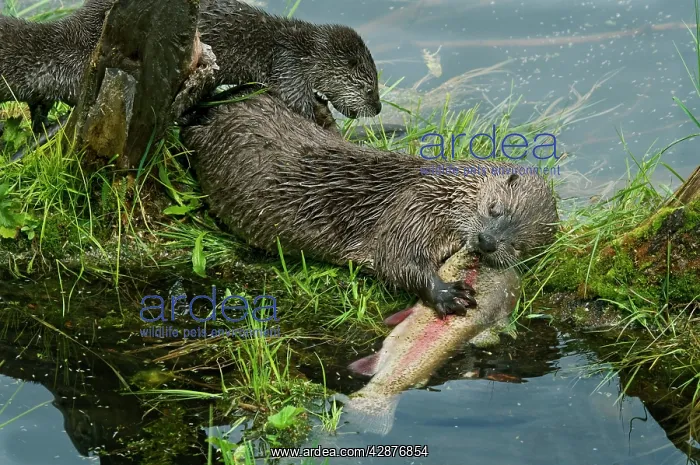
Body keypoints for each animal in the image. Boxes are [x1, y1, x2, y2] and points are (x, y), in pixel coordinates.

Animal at [180, 92, 559, 318]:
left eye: (519, 244)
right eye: (495, 207)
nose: (488, 241)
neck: (441, 191)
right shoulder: (412, 210)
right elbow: (395, 260)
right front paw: (448, 293)